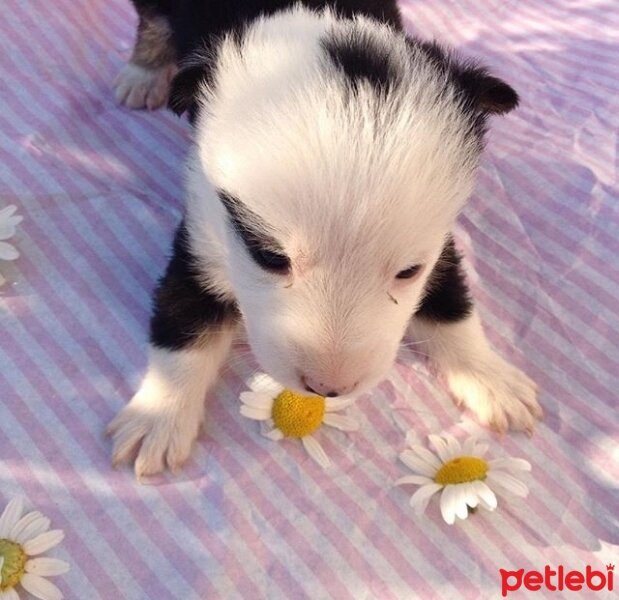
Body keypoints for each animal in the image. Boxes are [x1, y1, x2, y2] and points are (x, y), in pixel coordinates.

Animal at [108, 0, 544, 478]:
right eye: (269, 257)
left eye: (408, 271)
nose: (328, 388)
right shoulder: (203, 234)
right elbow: (183, 322)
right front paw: (158, 417)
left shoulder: (438, 243)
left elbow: (452, 303)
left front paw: (490, 377)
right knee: (151, 21)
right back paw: (143, 74)